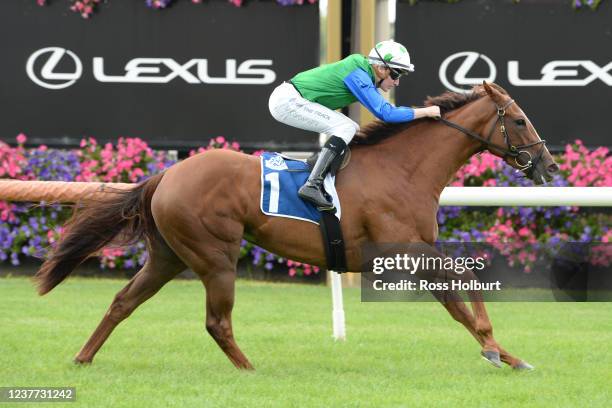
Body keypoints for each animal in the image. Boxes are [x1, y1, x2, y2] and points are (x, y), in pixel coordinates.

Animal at [34, 82, 560, 370]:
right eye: (518, 119)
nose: (549, 165)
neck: (402, 168)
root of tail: (167, 172)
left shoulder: (414, 251)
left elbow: (456, 298)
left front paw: (507, 355)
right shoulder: (403, 248)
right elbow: (463, 281)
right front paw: (494, 347)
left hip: (168, 254)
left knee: (123, 302)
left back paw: (83, 358)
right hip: (214, 255)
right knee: (216, 321)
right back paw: (250, 370)